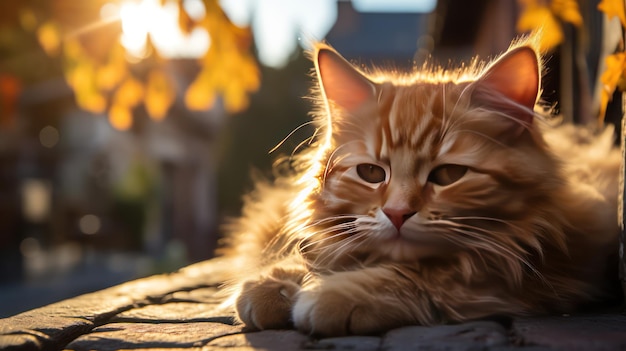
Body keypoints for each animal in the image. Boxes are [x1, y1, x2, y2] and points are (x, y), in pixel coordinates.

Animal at [219, 36, 620, 338]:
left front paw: (333, 293)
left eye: (448, 175)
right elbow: (326, 249)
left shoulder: (535, 270)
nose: (397, 213)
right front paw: (278, 281)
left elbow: (423, 277)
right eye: (371, 173)